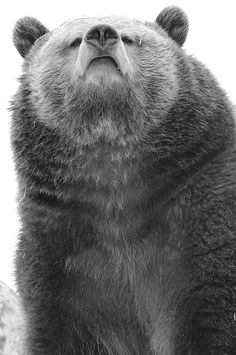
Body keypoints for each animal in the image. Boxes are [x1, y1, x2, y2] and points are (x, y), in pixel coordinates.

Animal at [11, 5, 236, 355]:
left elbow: (211, 313)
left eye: (132, 38)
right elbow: (58, 329)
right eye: (72, 41)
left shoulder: (196, 213)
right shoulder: (60, 252)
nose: (102, 33)